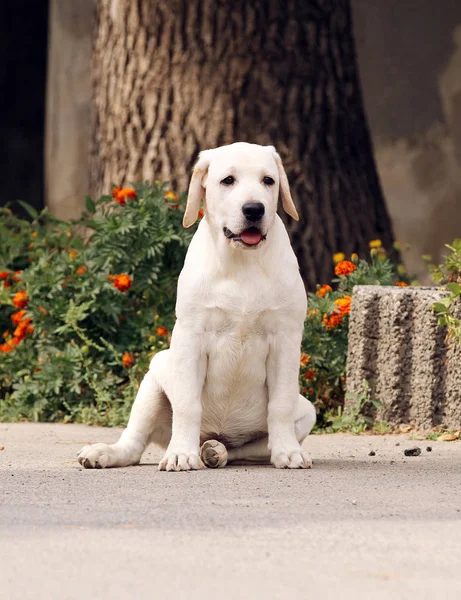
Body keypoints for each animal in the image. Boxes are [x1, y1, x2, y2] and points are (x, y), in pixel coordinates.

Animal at [79, 143, 316, 472]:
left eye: (268, 181)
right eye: (228, 180)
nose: (254, 209)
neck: (241, 262)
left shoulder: (285, 340)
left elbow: (279, 405)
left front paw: (288, 452)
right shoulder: (191, 336)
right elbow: (188, 405)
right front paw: (181, 453)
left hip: (306, 411)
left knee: (245, 448)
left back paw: (216, 450)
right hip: (155, 377)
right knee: (134, 443)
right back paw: (106, 452)